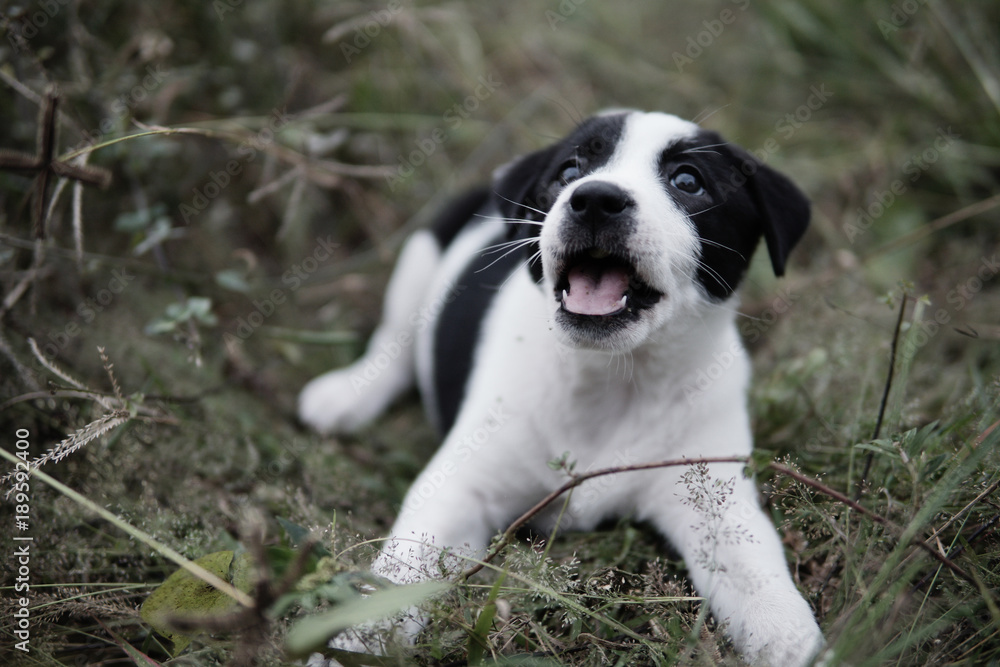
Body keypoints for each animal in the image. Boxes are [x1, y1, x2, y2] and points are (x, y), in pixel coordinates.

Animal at [300, 111, 824, 667]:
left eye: (688, 181)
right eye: (569, 169)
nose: (593, 198)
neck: (609, 377)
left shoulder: (714, 497)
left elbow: (754, 566)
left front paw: (789, 634)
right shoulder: (459, 489)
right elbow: (402, 571)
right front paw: (354, 641)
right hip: (420, 254)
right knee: (396, 339)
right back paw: (347, 395)